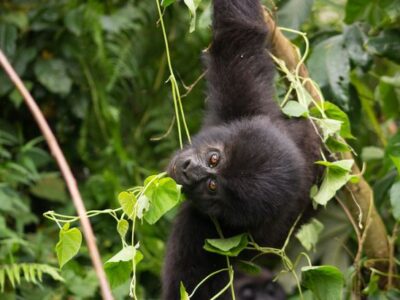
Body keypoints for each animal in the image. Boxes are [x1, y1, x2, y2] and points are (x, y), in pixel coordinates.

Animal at [161, 0, 320, 300]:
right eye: (214, 158)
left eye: (212, 186)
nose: (188, 170)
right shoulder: (252, 107)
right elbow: (239, 33)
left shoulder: (207, 232)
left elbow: (191, 288)